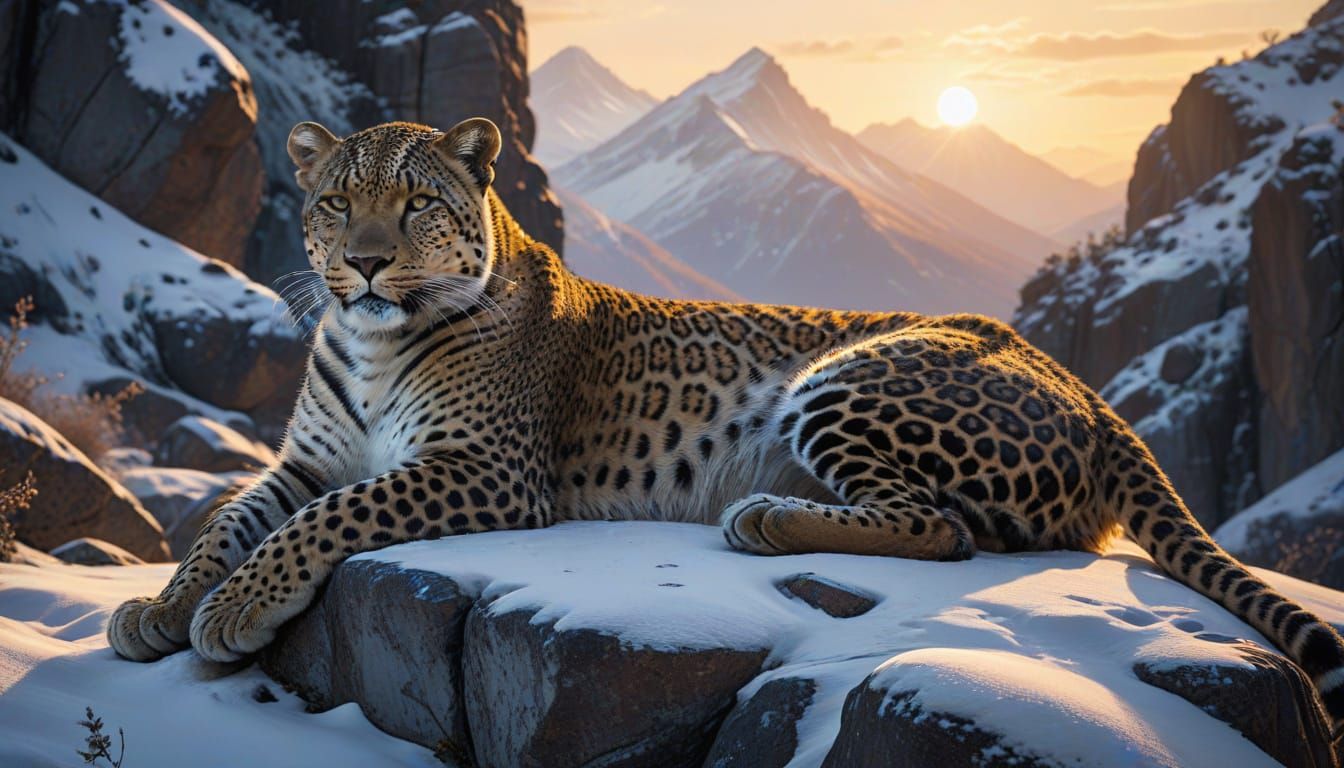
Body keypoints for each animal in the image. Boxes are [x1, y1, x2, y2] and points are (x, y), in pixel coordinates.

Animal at [108, 118, 1344, 726]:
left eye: (415, 204)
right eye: (333, 201)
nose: (363, 264)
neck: (371, 344)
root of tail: (1084, 384)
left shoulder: (484, 468)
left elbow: (326, 522)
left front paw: (237, 611)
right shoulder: (302, 460)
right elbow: (229, 518)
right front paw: (158, 609)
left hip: (847, 378)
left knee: (943, 528)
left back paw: (762, 519)